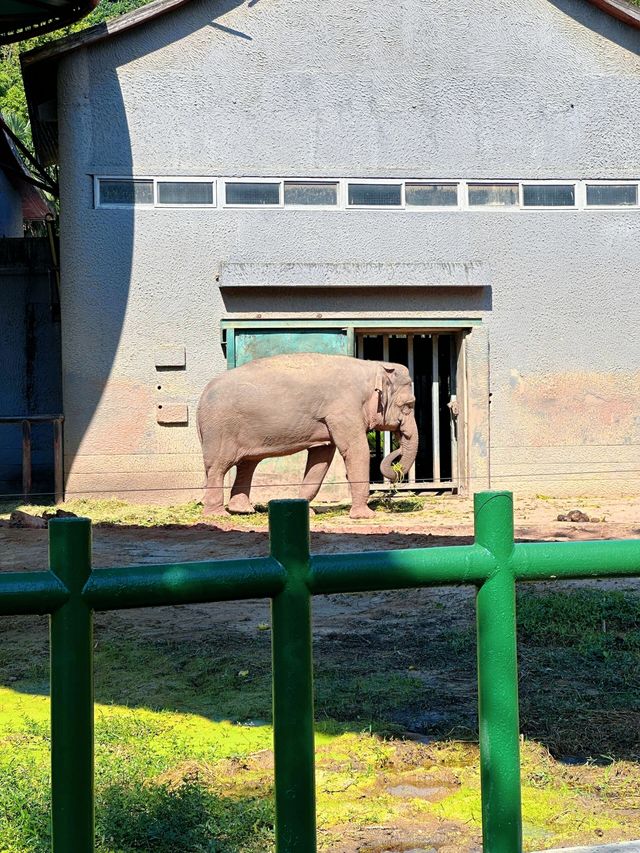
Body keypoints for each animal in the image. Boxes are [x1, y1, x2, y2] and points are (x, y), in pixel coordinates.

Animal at [200, 350, 420, 516]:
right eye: (408, 405)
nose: (397, 451)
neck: (373, 367)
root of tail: (202, 394)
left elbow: (321, 459)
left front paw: (305, 510)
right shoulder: (343, 409)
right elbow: (356, 450)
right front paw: (365, 515)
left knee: (247, 464)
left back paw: (244, 510)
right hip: (219, 429)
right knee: (218, 467)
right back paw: (218, 514)